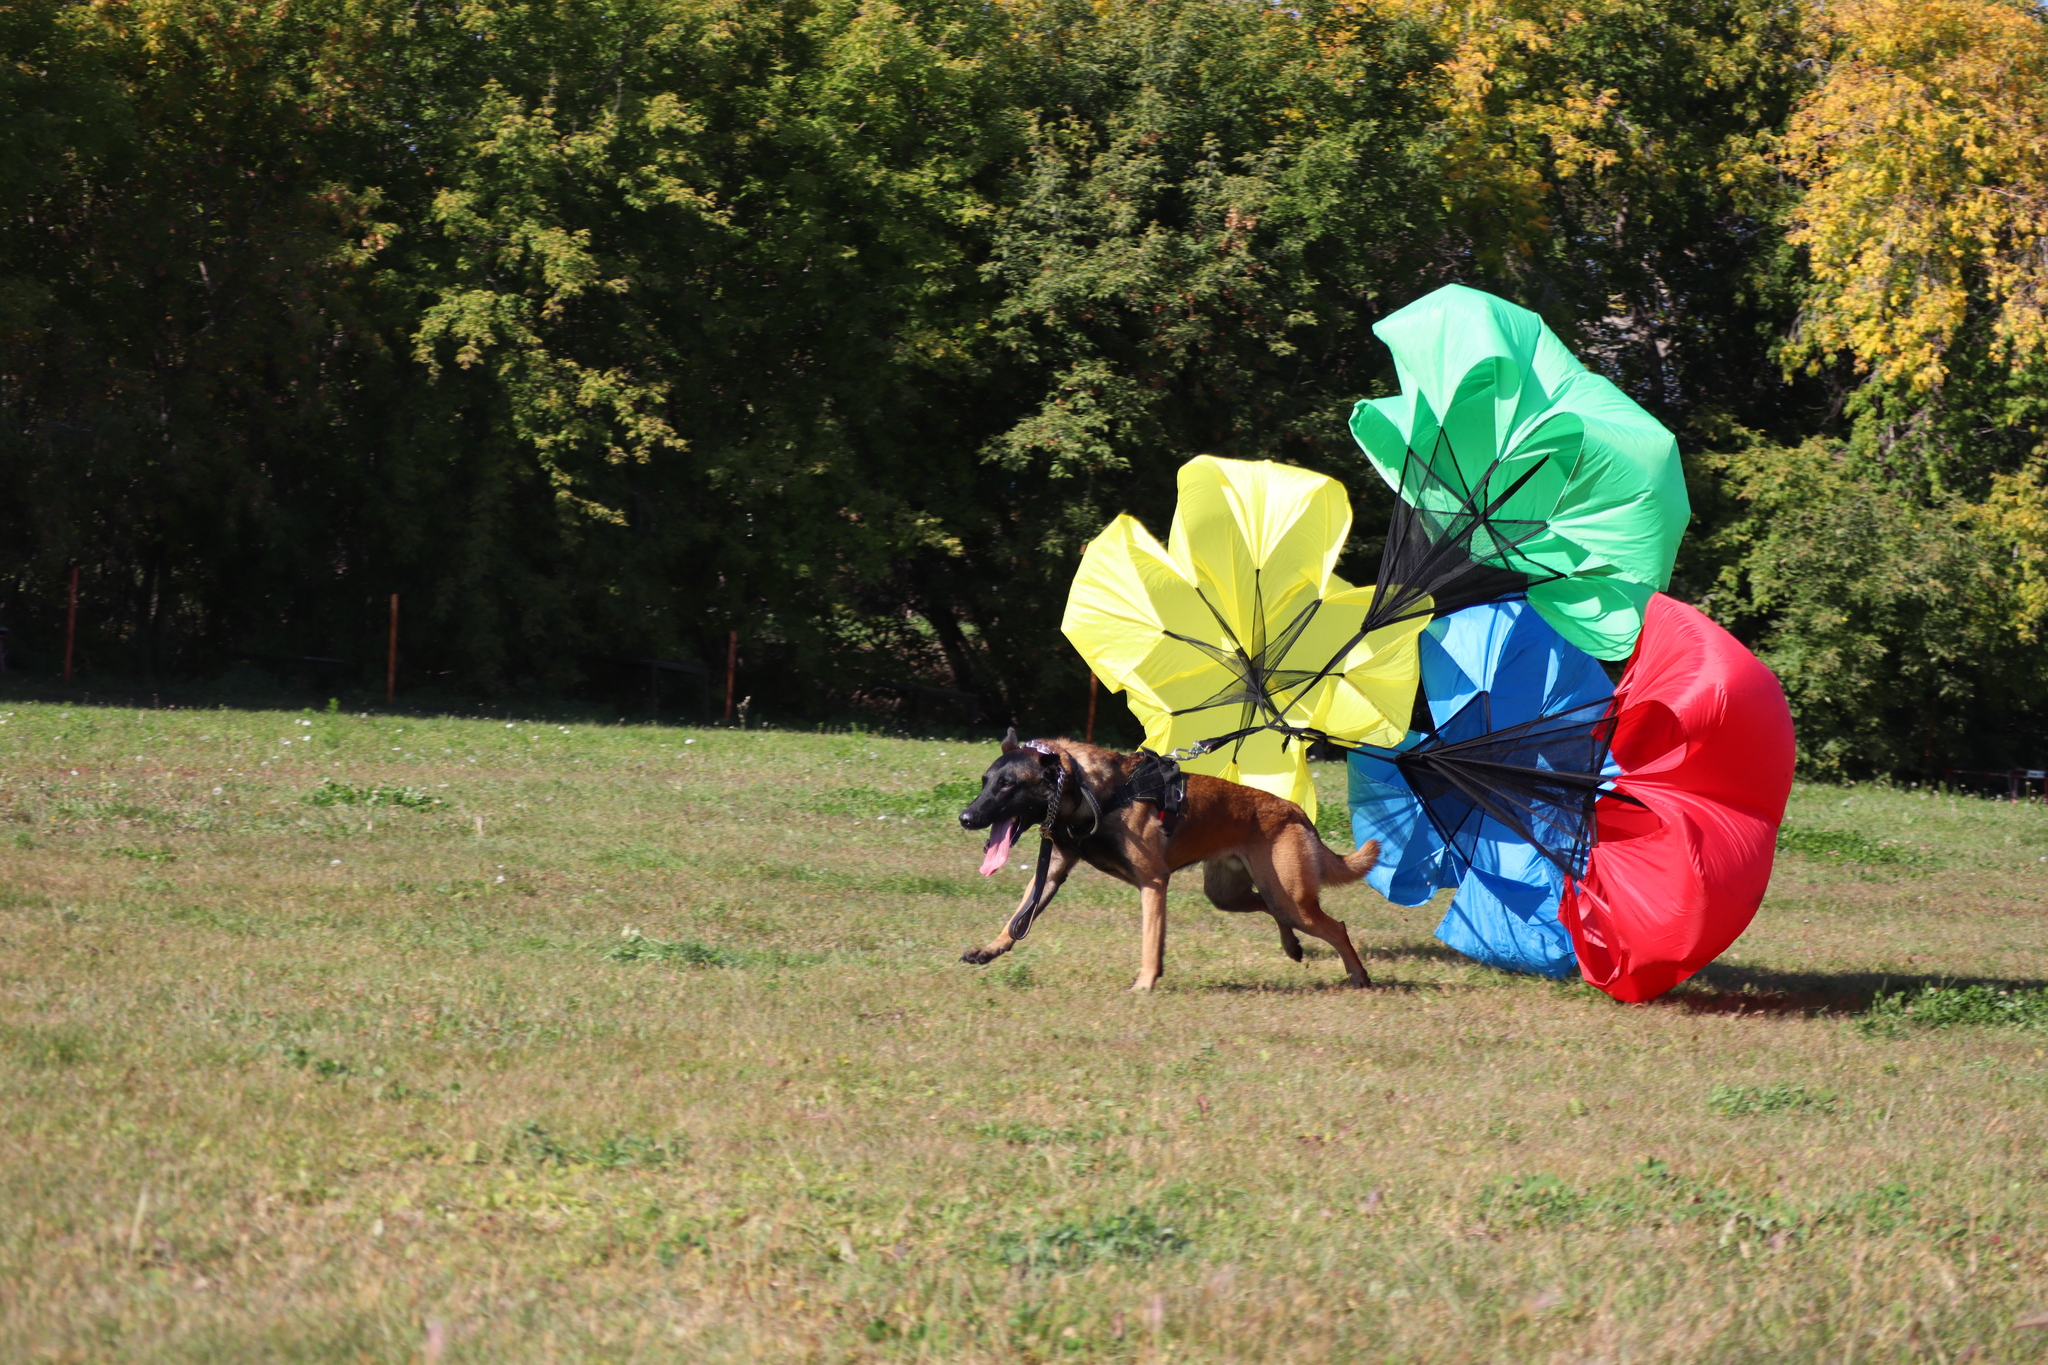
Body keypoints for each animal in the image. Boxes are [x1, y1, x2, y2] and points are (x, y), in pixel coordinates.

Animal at [954, 724, 1376, 994]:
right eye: (985, 782)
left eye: (1008, 785)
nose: (966, 818)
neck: (1089, 789)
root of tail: (1296, 812)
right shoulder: (1053, 872)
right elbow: (1016, 920)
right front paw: (988, 950)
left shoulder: (1153, 882)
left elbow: (1150, 940)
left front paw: (1144, 984)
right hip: (1232, 895)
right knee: (1271, 909)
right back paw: (1293, 947)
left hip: (1290, 898)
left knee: (1336, 927)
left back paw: (1359, 977)